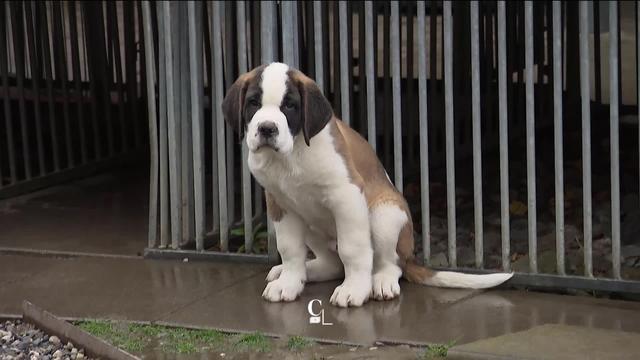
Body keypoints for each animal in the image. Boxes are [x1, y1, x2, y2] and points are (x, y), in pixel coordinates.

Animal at [222, 61, 512, 306]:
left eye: (290, 106)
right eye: (253, 103)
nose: (267, 128)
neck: (292, 156)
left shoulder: (347, 197)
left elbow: (353, 249)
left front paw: (354, 289)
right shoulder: (280, 205)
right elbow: (290, 249)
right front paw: (290, 282)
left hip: (384, 214)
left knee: (390, 263)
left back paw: (381, 282)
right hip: (312, 224)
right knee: (332, 263)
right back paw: (299, 271)